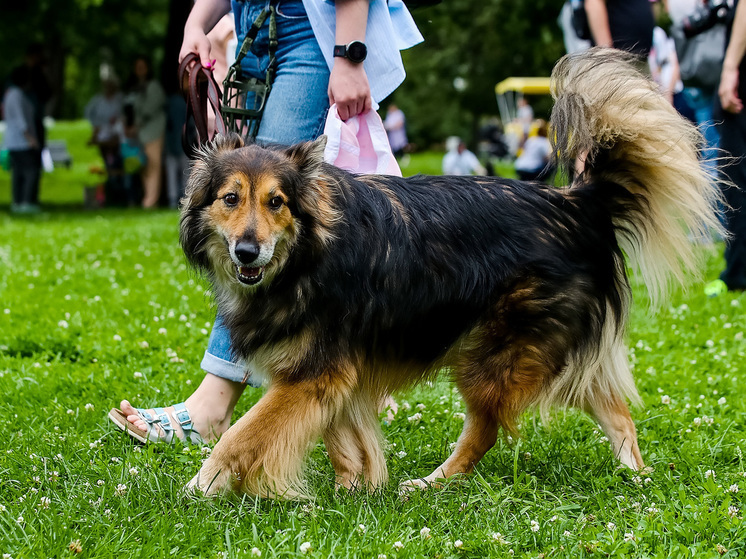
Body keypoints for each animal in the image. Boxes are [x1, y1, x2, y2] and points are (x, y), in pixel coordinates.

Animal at [179, 50, 720, 498]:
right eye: (231, 198)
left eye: (277, 202)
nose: (248, 252)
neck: (307, 252)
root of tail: (577, 201)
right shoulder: (335, 372)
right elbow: (345, 441)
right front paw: (355, 488)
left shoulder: (315, 371)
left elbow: (239, 436)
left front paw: (201, 487)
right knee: (615, 409)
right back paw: (636, 476)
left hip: (494, 356)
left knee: (484, 433)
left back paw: (432, 483)